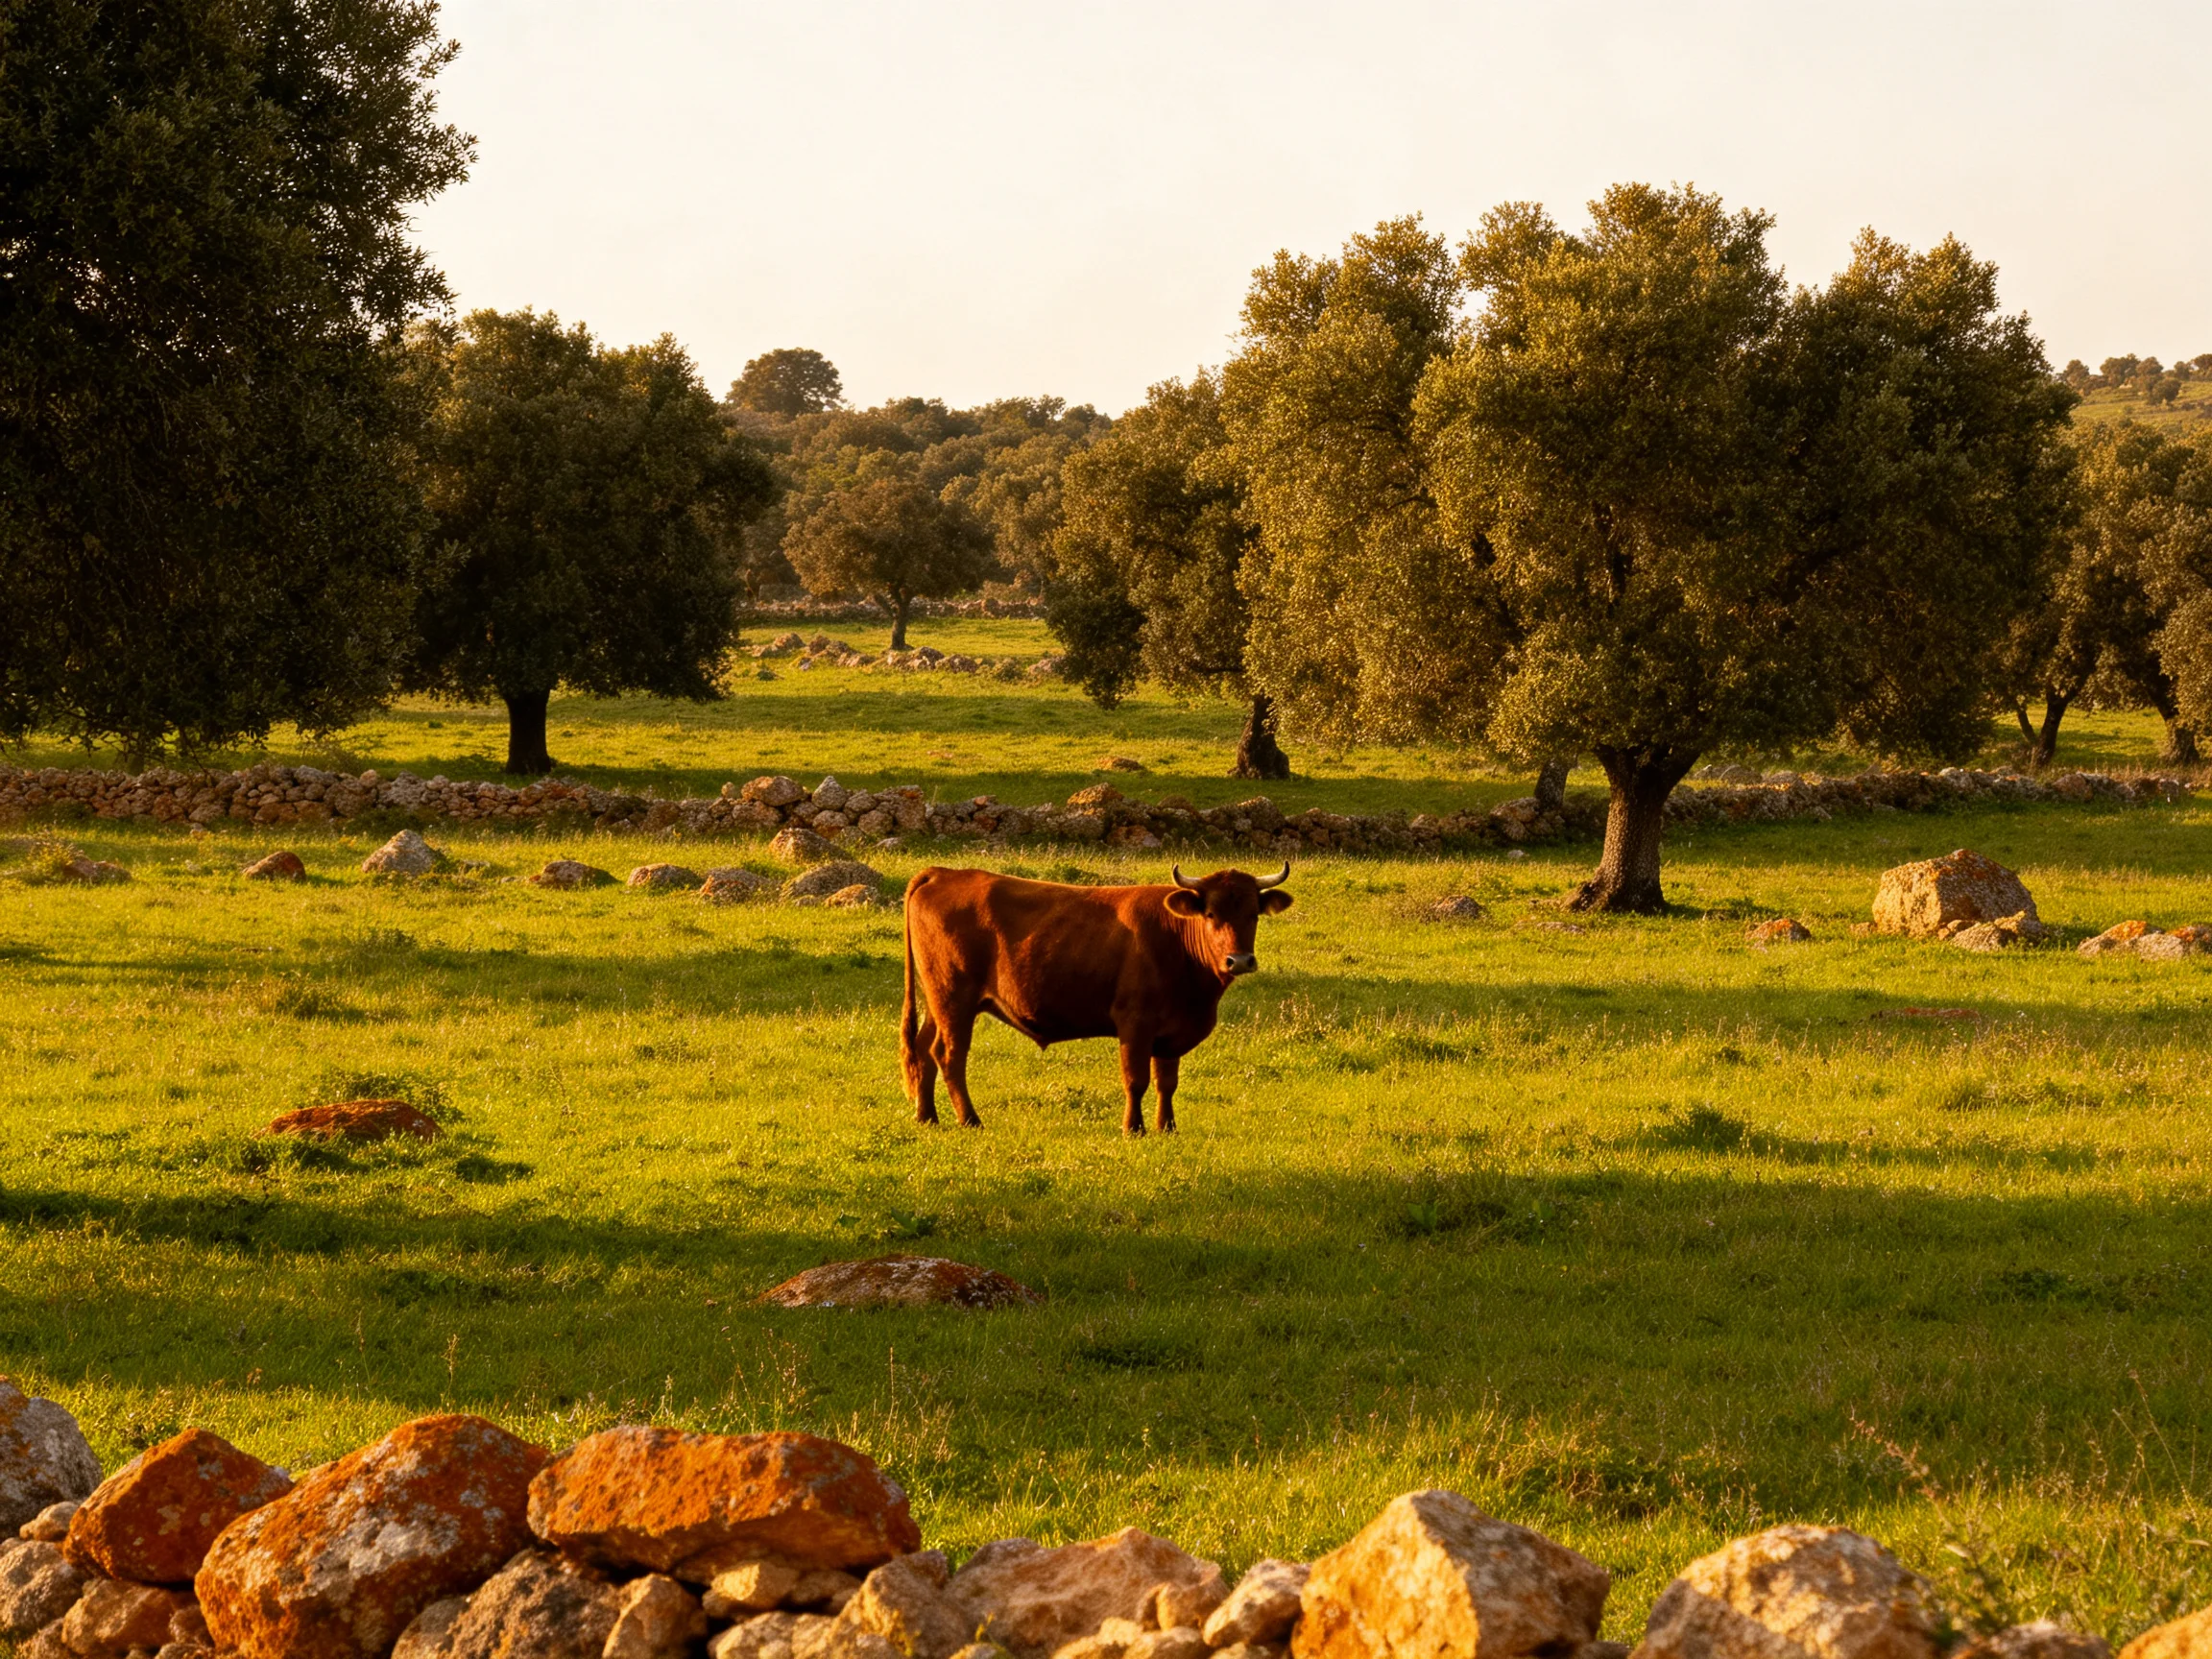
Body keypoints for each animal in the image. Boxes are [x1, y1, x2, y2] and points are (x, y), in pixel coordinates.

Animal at [900, 862, 1294, 1134]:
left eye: (1253, 914)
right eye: (1210, 914)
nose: (1239, 960)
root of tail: (943, 873)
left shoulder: (1171, 1032)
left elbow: (1167, 1082)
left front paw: (1167, 1127)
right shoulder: (1134, 1022)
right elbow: (1136, 1079)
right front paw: (1133, 1128)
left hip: (938, 1000)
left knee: (923, 1050)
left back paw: (927, 1116)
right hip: (954, 997)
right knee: (949, 1055)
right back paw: (970, 1119)